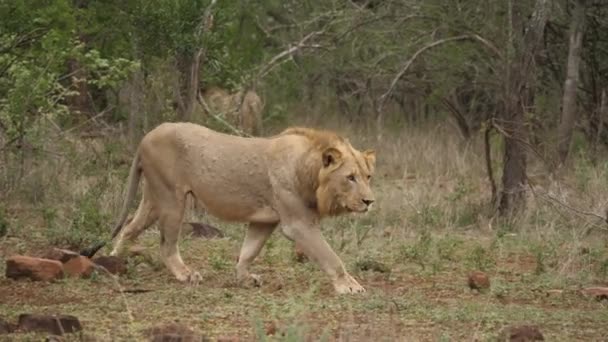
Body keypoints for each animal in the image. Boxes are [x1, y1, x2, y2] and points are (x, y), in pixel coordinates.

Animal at [109, 122, 376, 294]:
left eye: (368, 176)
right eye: (350, 177)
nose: (369, 201)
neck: (308, 170)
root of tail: (146, 136)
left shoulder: (263, 221)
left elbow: (249, 250)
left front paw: (244, 278)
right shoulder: (298, 224)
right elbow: (330, 256)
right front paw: (349, 285)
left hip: (154, 199)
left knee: (129, 228)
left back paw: (113, 262)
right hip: (172, 198)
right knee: (166, 244)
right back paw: (186, 274)